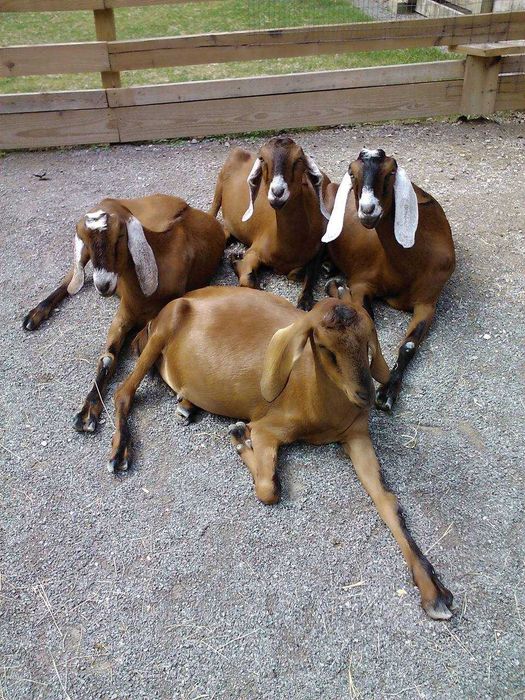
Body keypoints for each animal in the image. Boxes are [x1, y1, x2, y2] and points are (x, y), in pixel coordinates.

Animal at [23, 194, 226, 433]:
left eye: (119, 236)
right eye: (86, 239)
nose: (103, 285)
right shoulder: (123, 315)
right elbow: (107, 358)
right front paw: (88, 411)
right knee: (71, 276)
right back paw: (36, 313)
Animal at [108, 283, 453, 621]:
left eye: (368, 337)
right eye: (325, 348)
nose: (364, 396)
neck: (317, 404)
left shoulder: (357, 435)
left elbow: (387, 502)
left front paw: (434, 591)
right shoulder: (268, 427)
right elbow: (267, 488)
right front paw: (239, 437)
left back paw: (187, 405)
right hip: (165, 327)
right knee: (123, 391)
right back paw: (120, 453)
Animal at [209, 136, 338, 310]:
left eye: (298, 159)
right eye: (263, 158)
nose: (277, 192)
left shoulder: (320, 245)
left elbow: (308, 273)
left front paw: (305, 300)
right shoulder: (255, 251)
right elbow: (248, 281)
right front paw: (236, 261)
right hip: (219, 186)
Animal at [322, 148, 455, 411]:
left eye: (390, 172)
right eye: (352, 172)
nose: (368, 210)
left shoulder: (428, 302)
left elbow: (409, 345)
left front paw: (387, 394)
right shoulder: (362, 283)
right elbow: (368, 318)